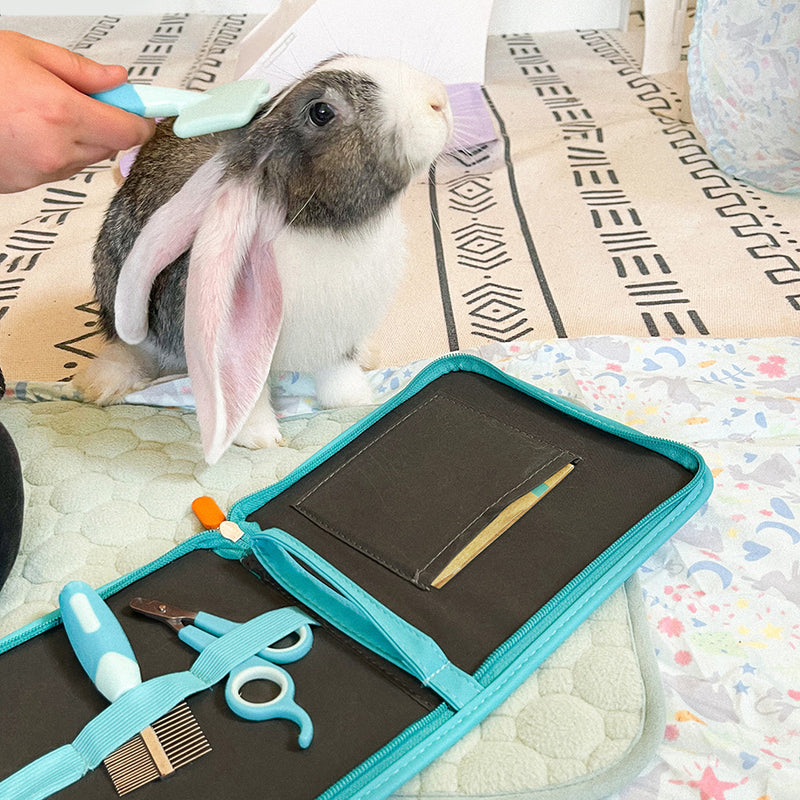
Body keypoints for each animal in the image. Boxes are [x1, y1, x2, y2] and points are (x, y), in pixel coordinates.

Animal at [77, 56, 454, 462]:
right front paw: (260, 439)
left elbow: (339, 375)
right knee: (135, 349)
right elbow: (246, 399)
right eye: (321, 112)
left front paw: (357, 402)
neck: (321, 230)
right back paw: (102, 383)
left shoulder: (335, 337)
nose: (439, 99)